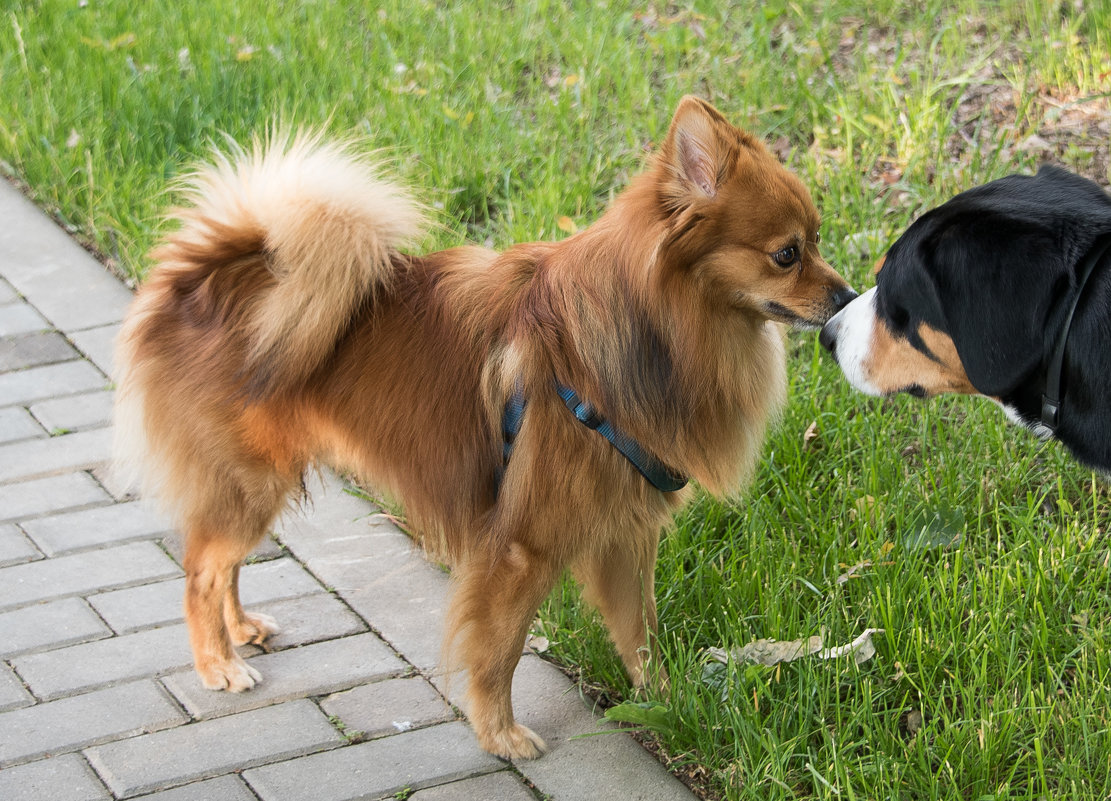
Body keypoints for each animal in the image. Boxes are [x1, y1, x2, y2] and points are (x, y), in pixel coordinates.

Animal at [114, 96, 848, 759]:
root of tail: (202, 274)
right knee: (201, 569)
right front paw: (499, 734)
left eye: (815, 241)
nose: (847, 299)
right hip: (251, 480)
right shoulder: (522, 547)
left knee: (224, 562)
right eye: (787, 254)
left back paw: (241, 629)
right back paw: (217, 662)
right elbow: (502, 650)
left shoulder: (624, 533)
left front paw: (672, 704)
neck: (649, 329)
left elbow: (641, 633)